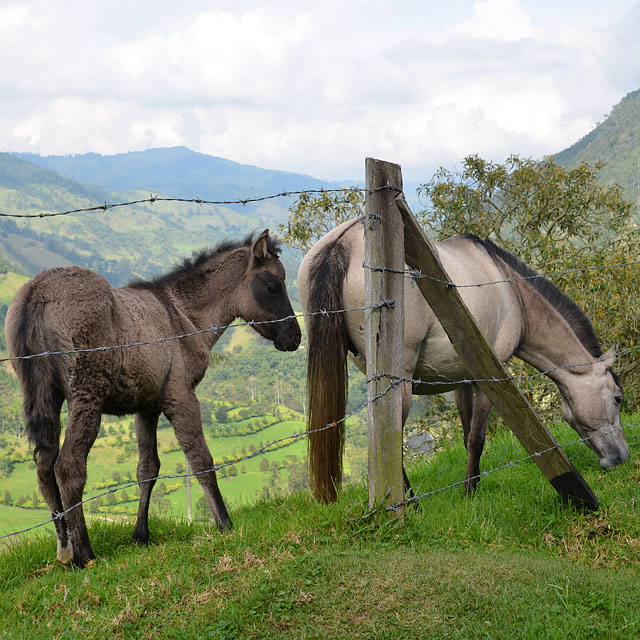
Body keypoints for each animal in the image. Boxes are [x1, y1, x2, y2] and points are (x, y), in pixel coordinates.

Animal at [5, 229, 302, 564]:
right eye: (273, 285)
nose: (295, 337)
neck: (182, 315)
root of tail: (36, 291)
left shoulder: (145, 408)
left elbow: (147, 469)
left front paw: (141, 535)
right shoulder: (181, 397)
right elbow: (201, 459)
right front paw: (225, 524)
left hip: (46, 397)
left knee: (44, 468)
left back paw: (65, 549)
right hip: (87, 396)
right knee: (68, 466)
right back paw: (84, 553)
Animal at [300, 218, 632, 502]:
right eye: (618, 398)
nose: (622, 457)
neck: (511, 290)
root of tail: (344, 241)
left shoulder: (462, 380)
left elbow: (465, 434)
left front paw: (473, 483)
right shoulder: (490, 378)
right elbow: (477, 438)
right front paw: (470, 491)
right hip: (399, 383)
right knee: (389, 437)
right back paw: (410, 502)